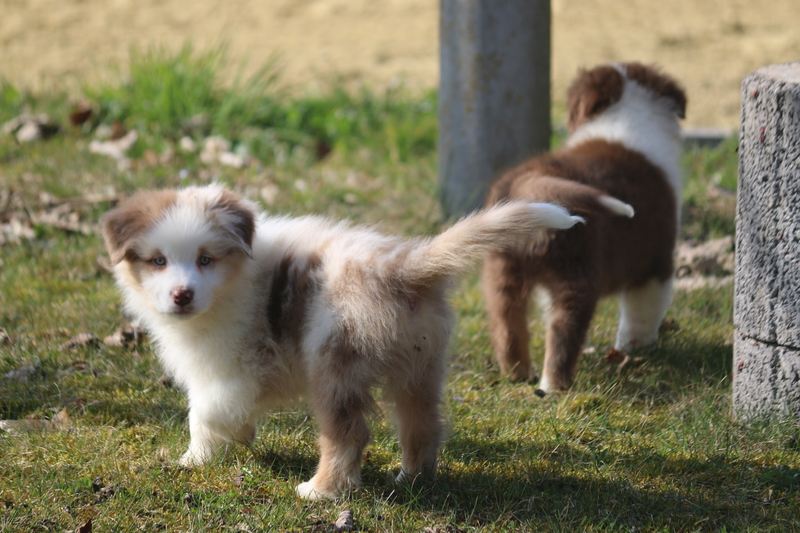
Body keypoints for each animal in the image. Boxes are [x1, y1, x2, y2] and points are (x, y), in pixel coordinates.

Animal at [101, 183, 582, 499]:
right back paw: (412, 479)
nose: (182, 295)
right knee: (422, 424)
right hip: (420, 365)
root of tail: (403, 267)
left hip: (335, 363)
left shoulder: (234, 365)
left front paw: (193, 460)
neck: (235, 279)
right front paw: (230, 442)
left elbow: (204, 412)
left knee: (348, 434)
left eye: (205, 259)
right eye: (158, 261)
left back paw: (320, 490)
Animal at [482, 62, 687, 393]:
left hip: (503, 272)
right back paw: (554, 385)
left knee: (508, 326)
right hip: (576, 274)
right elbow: (642, 313)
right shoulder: (656, 264)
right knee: (563, 332)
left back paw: (518, 374)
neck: (625, 113)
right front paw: (638, 348)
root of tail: (531, 183)